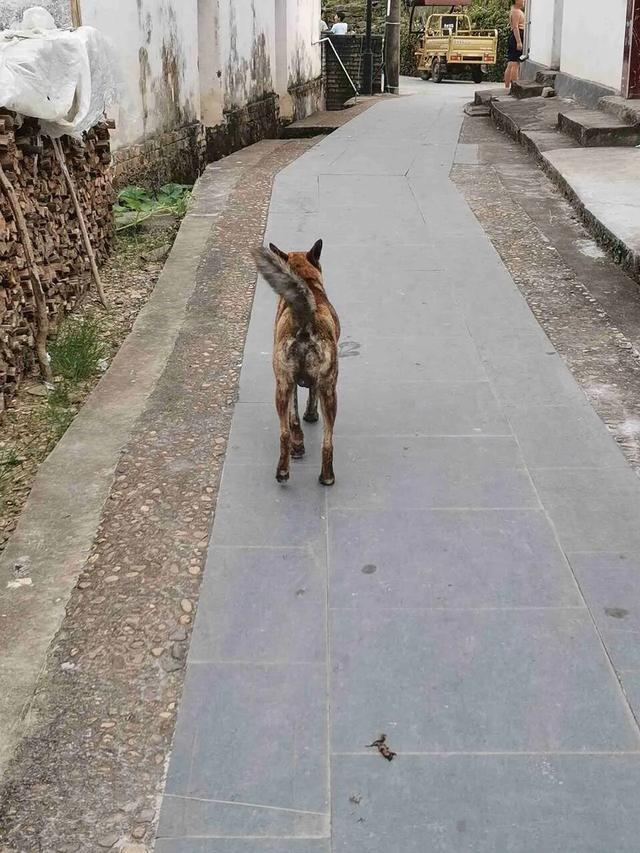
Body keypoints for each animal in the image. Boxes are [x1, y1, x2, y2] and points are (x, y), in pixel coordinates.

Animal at [252, 240, 340, 486]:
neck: (308, 283)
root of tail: (305, 320)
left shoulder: (291, 383)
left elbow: (296, 417)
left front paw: (299, 442)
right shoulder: (306, 384)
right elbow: (307, 400)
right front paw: (309, 418)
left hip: (288, 387)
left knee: (292, 434)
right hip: (327, 389)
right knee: (324, 439)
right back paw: (322, 476)